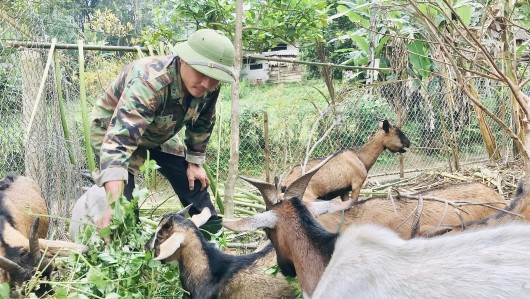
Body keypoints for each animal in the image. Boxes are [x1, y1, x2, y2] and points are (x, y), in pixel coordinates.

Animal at [280, 119, 408, 202]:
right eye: (397, 132)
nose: (409, 142)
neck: (359, 157)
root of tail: (285, 183)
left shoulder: (344, 190)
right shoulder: (356, 185)